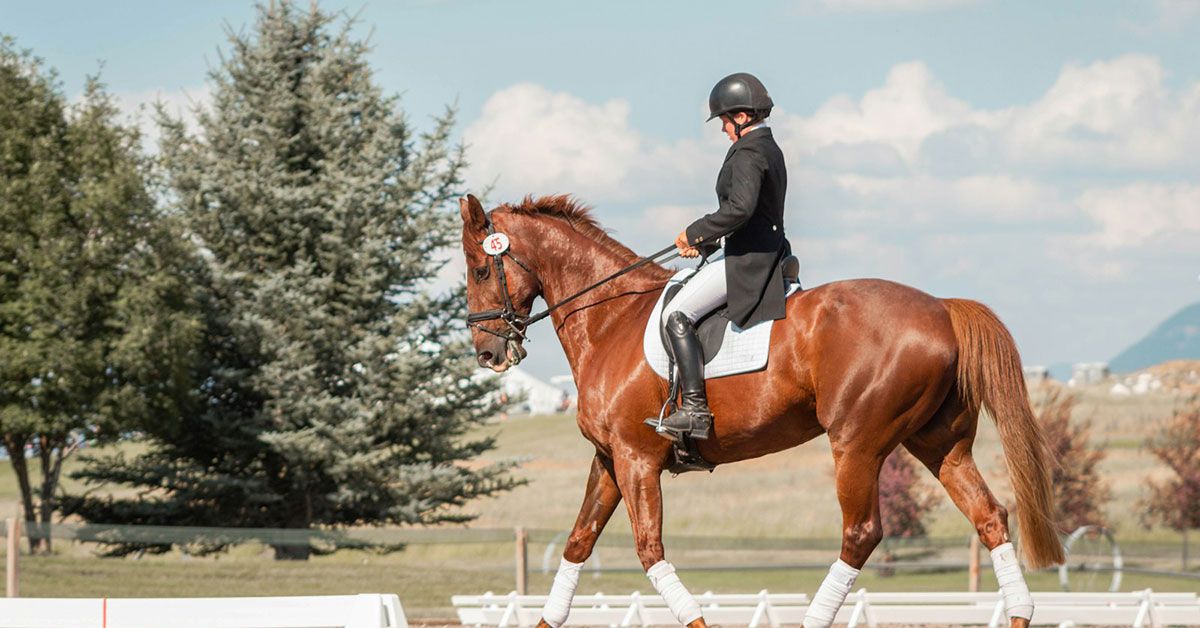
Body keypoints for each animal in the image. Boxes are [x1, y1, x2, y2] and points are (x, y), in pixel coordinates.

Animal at [458, 193, 1063, 628]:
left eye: (481, 270)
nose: (487, 353)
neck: (611, 320)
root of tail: (940, 307)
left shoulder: (636, 461)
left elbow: (650, 551)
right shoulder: (610, 460)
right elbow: (579, 542)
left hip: (857, 444)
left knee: (860, 534)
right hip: (941, 445)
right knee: (990, 517)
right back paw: (1018, 614)